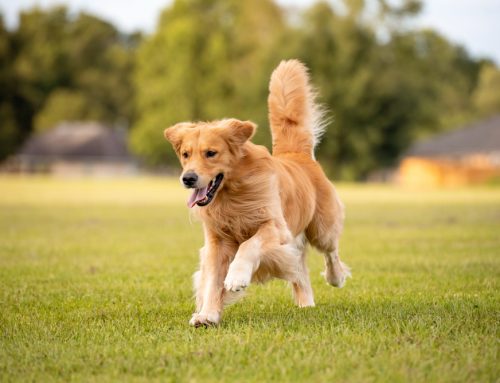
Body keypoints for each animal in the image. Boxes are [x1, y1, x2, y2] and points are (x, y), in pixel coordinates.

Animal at [165, 59, 352, 328]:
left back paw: (335, 277)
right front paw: (208, 314)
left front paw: (236, 276)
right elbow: (212, 280)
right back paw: (306, 303)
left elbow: (249, 245)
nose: (187, 178)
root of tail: (296, 154)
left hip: (321, 228)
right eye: (185, 154)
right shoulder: (216, 242)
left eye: (211, 153)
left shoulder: (275, 226)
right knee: (300, 270)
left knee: (331, 251)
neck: (231, 195)